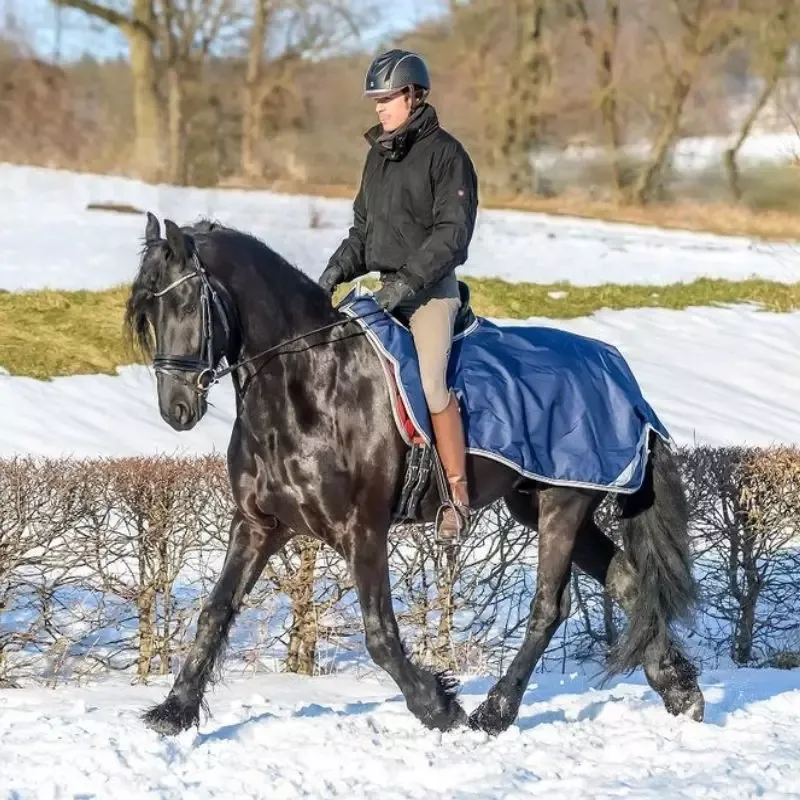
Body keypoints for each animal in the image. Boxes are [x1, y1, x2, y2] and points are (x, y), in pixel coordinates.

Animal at [126, 213, 704, 737]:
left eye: (185, 303)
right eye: (147, 312)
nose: (175, 409)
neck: (305, 382)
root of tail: (620, 376)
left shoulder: (362, 530)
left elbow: (380, 635)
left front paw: (437, 706)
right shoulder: (258, 524)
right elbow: (216, 610)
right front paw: (174, 711)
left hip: (564, 503)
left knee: (549, 607)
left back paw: (495, 713)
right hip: (542, 504)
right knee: (628, 579)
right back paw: (680, 690)